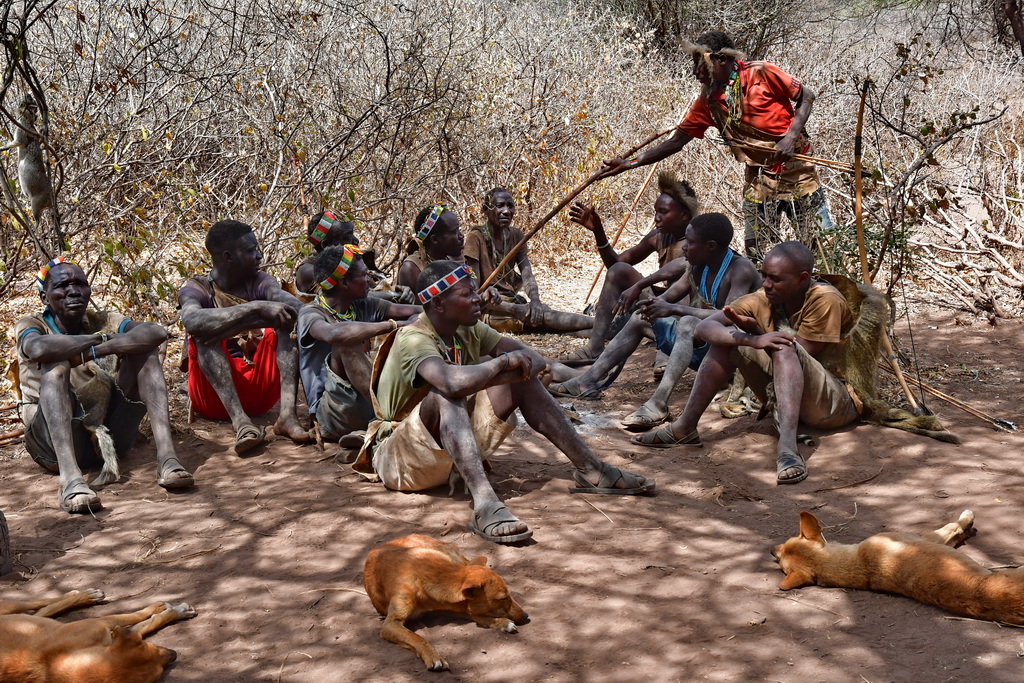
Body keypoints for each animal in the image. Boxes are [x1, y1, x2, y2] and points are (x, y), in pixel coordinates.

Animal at [0, 589, 194, 683]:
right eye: (152, 646)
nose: (174, 654)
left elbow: (140, 624)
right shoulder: (102, 623)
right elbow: (136, 617)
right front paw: (175, 611)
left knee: (40, 606)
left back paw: (81, 595)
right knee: (39, 606)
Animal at [364, 532, 528, 671]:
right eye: (503, 598)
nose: (526, 616)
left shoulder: (453, 606)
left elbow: (479, 616)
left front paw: (501, 622)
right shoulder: (391, 623)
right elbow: (418, 638)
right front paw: (433, 657)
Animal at [770, 507, 1024, 626]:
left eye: (782, 552)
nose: (771, 550)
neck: (859, 564)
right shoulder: (927, 537)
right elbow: (952, 526)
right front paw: (967, 519)